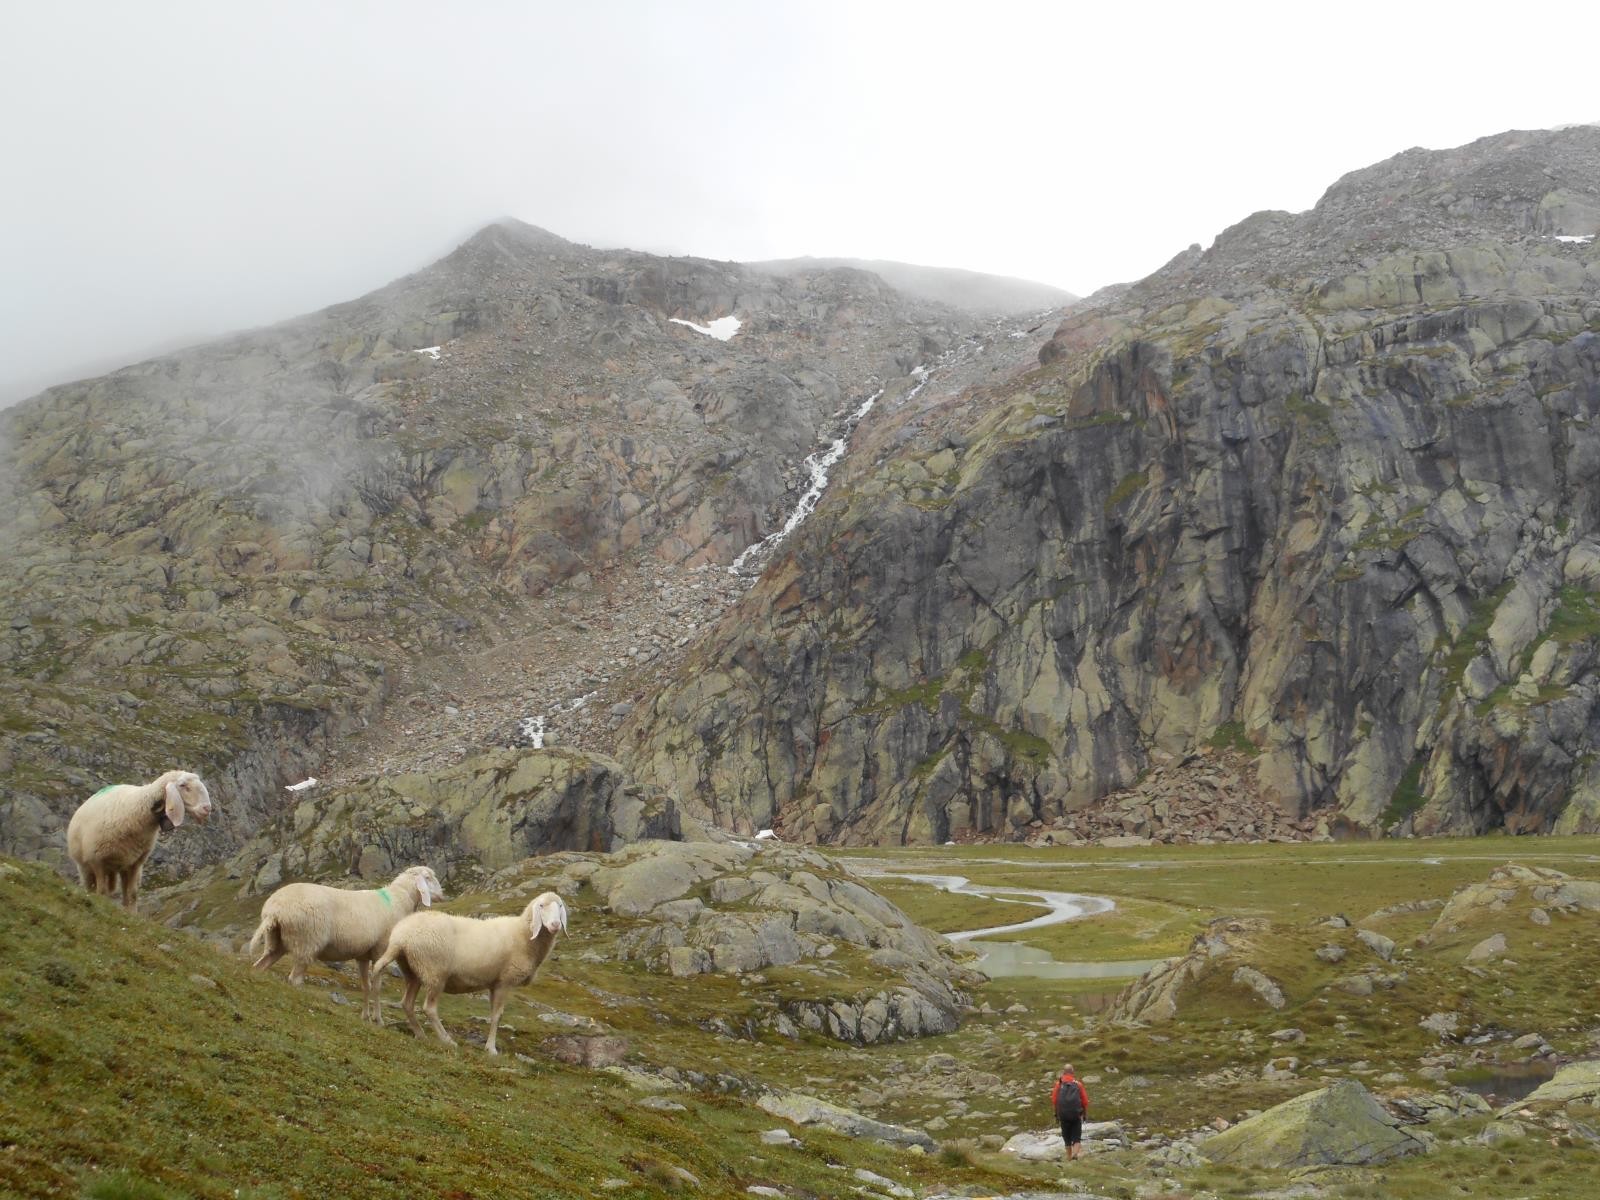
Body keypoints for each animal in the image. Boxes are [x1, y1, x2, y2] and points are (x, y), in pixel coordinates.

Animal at [65, 771, 214, 908]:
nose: (207, 808)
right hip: (85, 866)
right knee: (90, 888)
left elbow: (132, 895)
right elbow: (101, 892)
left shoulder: (134, 864)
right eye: (183, 785)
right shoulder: (97, 861)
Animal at [246, 864, 444, 1024]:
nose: (442, 895)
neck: (398, 901)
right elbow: (377, 988)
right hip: (307, 942)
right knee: (294, 979)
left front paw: (365, 1017)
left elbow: (366, 986)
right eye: (428, 877)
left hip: (276, 942)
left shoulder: (363, 956)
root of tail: (274, 910)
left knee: (260, 966)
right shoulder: (381, 952)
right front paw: (378, 1019)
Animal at [371, 896, 572, 1049]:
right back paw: (447, 1040)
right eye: (541, 906)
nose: (555, 924)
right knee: (429, 1008)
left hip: (414, 971)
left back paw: (420, 1035)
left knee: (407, 1003)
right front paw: (491, 1049)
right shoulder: (504, 982)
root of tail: (400, 938)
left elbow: (494, 1015)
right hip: (435, 973)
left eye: (560, 906)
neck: (524, 935)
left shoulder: (494, 983)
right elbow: (497, 1016)